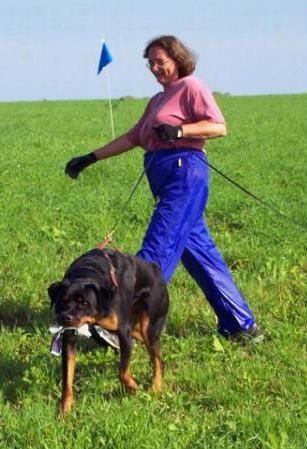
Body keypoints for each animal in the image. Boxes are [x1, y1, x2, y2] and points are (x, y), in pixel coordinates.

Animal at [47, 248, 171, 412]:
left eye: (84, 303)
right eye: (63, 301)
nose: (66, 317)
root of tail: (156, 269)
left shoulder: (124, 333)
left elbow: (123, 371)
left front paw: (133, 388)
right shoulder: (69, 338)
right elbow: (67, 380)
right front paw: (65, 411)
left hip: (149, 327)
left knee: (158, 360)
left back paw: (156, 389)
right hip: (137, 326)